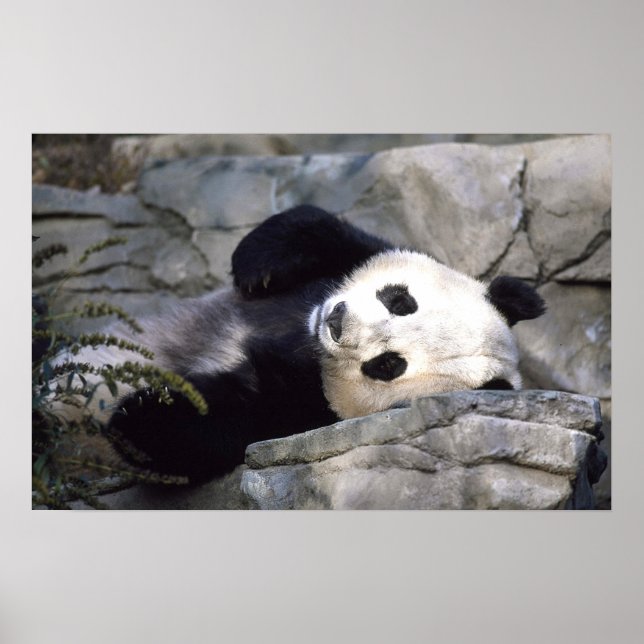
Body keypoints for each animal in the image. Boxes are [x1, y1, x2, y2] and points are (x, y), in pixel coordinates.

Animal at [79, 205, 545, 482]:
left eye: (388, 365)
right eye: (401, 301)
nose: (336, 321)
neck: (304, 337)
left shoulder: (307, 416)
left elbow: (231, 422)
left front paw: (139, 415)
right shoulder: (350, 259)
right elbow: (323, 230)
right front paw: (257, 265)